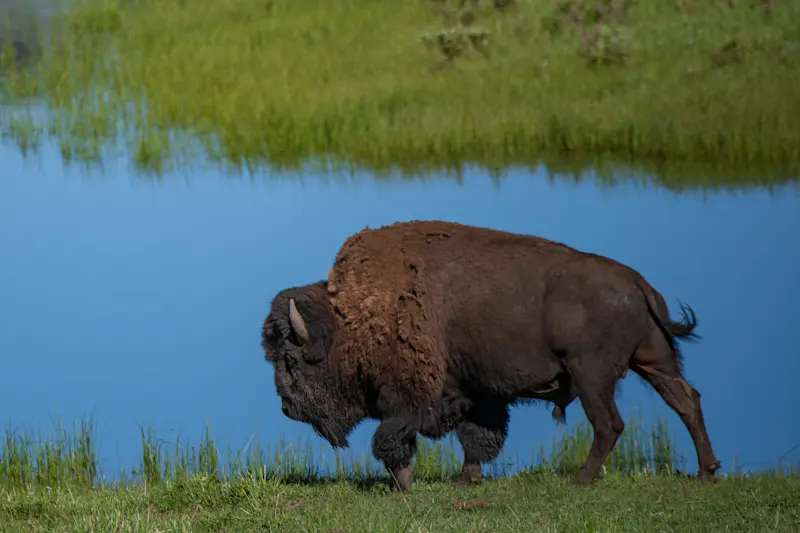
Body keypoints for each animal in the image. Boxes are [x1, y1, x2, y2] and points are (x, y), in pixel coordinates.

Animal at [260, 220, 720, 491]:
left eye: (291, 361)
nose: (285, 407)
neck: (353, 315)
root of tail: (638, 284)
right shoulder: (476, 394)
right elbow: (477, 437)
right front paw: (467, 480)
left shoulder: (405, 397)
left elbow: (392, 438)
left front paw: (406, 484)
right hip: (654, 362)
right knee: (686, 401)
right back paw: (706, 471)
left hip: (591, 376)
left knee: (610, 424)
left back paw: (580, 478)